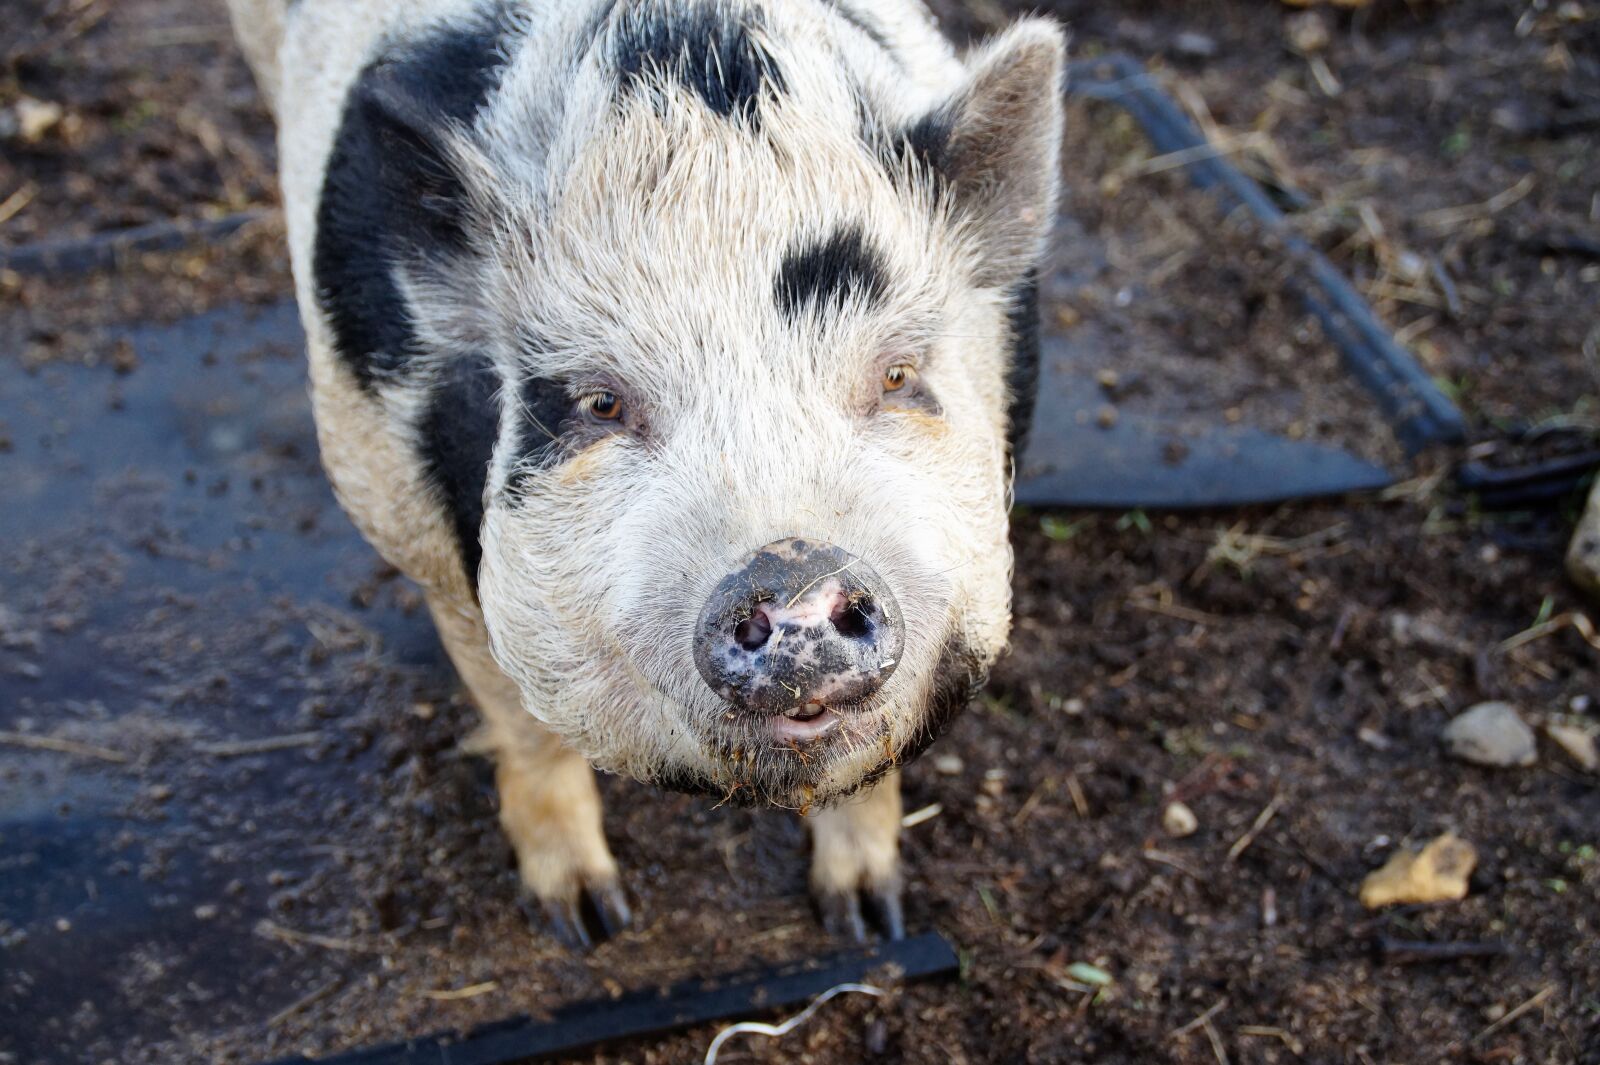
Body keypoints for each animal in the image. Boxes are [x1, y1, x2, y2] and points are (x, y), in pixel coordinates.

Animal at [225, 0, 1063, 947]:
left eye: (895, 374)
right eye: (600, 403)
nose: (793, 568)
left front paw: (869, 920)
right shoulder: (414, 531)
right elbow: (522, 723)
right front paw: (588, 921)